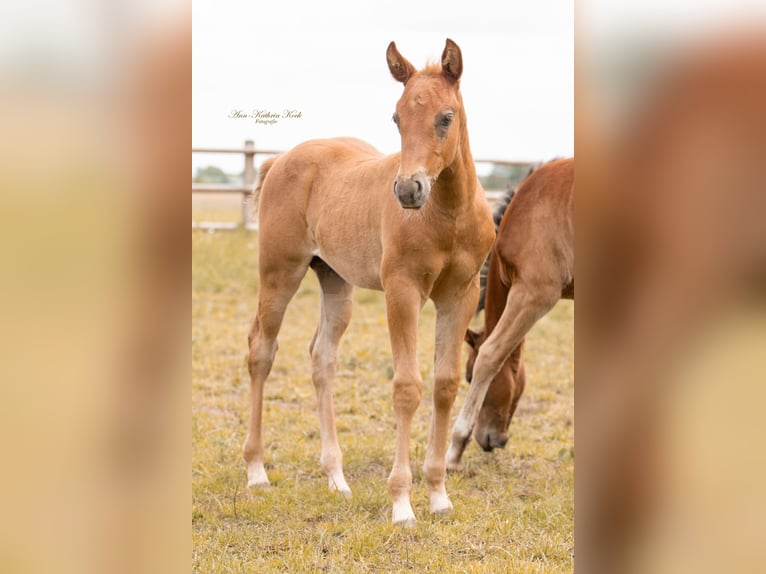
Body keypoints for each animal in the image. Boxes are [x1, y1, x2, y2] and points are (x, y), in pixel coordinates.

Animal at [243, 39, 495, 525]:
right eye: (396, 117)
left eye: (446, 116)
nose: (409, 190)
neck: (448, 214)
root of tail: (280, 159)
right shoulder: (402, 291)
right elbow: (407, 387)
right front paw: (402, 503)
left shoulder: (461, 294)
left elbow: (445, 384)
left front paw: (438, 495)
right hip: (278, 272)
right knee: (261, 351)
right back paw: (257, 471)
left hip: (335, 281)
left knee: (322, 359)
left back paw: (336, 479)